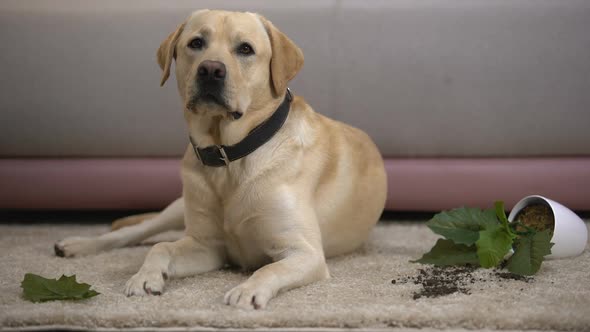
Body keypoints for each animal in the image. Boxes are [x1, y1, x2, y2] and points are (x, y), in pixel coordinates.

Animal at [55, 10, 388, 312]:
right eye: (196, 43)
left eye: (245, 49)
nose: (211, 70)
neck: (230, 155)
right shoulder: (207, 245)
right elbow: (161, 247)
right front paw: (145, 276)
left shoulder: (304, 253)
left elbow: (269, 268)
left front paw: (247, 291)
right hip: (180, 207)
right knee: (138, 231)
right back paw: (78, 244)